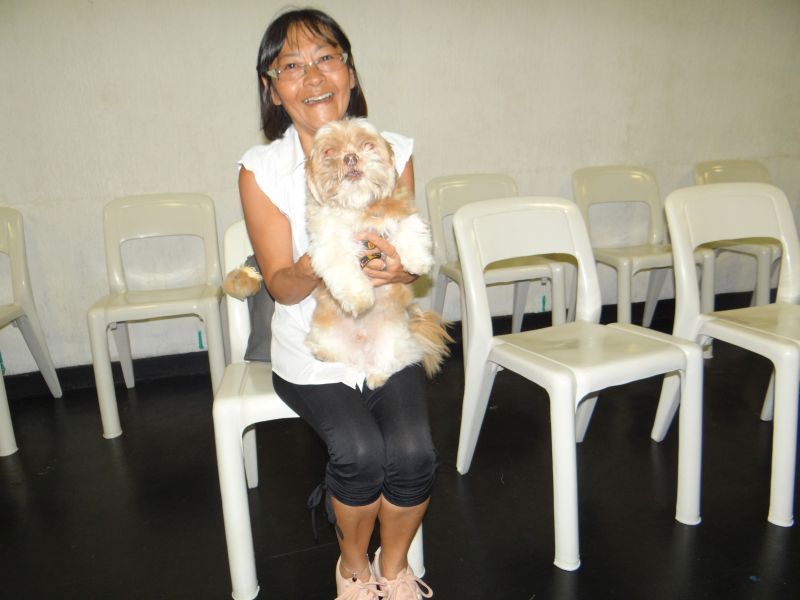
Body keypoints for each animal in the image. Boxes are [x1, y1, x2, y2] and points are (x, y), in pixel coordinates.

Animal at [305, 118, 451, 388]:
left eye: (367, 145)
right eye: (329, 151)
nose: (350, 157)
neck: (358, 204)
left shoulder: (403, 213)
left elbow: (408, 228)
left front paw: (417, 260)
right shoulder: (329, 242)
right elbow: (344, 269)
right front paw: (359, 299)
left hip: (393, 341)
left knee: (389, 363)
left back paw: (377, 377)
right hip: (326, 336)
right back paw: (324, 355)